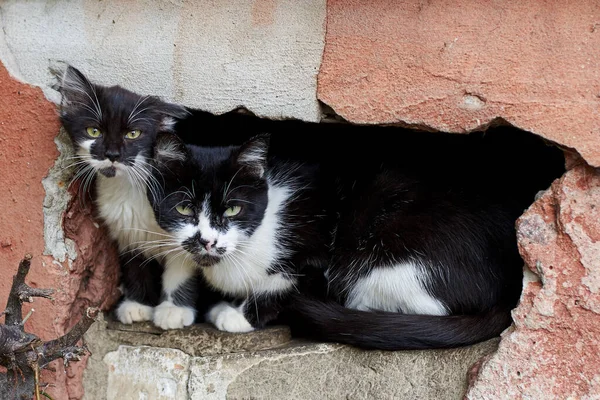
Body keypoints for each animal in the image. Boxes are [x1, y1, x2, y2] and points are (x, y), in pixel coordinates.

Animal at [58, 65, 204, 328]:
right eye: (94, 131)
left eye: (133, 134)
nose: (112, 154)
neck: (129, 187)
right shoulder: (126, 230)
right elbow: (136, 265)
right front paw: (137, 305)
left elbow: (181, 267)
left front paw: (173, 310)